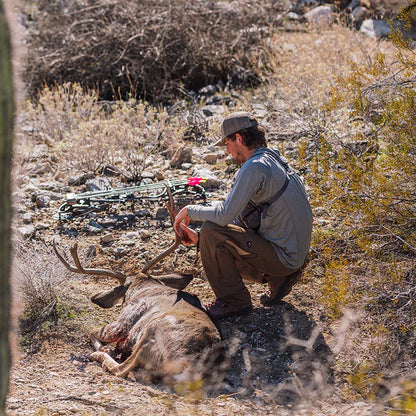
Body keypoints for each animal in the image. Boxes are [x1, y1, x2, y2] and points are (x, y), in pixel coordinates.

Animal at [53, 190, 223, 386]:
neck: (142, 285)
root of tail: (190, 369)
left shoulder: (122, 323)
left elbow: (92, 332)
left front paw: (105, 348)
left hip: (151, 332)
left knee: (122, 369)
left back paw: (99, 354)